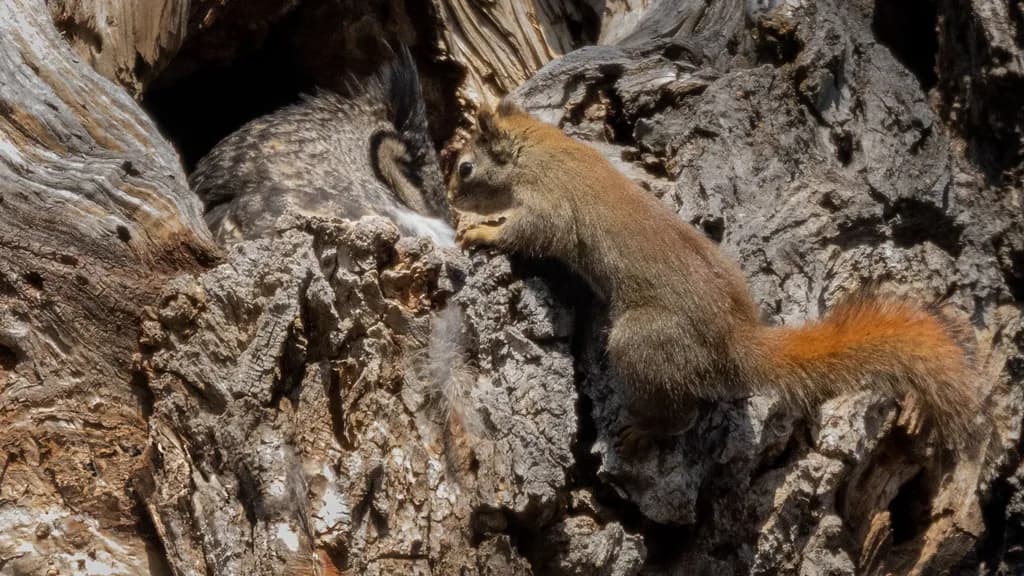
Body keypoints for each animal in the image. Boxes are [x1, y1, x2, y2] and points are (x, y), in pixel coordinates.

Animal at [447, 101, 981, 452]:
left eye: (465, 167)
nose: (451, 197)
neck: (539, 149)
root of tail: (734, 341)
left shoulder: (551, 202)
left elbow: (531, 232)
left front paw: (482, 231)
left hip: (643, 341)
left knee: (680, 415)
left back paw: (643, 430)